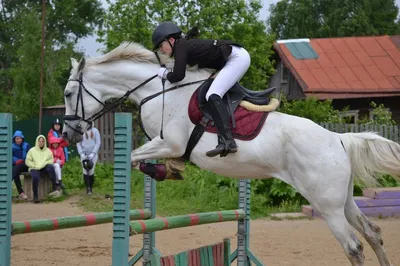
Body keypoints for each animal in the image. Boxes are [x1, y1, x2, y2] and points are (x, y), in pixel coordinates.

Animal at [62, 42, 400, 264]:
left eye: (67, 93)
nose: (68, 134)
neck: (156, 91)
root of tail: (338, 139)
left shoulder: (169, 143)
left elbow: (132, 158)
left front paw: (160, 170)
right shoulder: (164, 145)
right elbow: (143, 162)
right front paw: (167, 171)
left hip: (326, 206)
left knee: (354, 246)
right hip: (343, 201)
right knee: (372, 232)